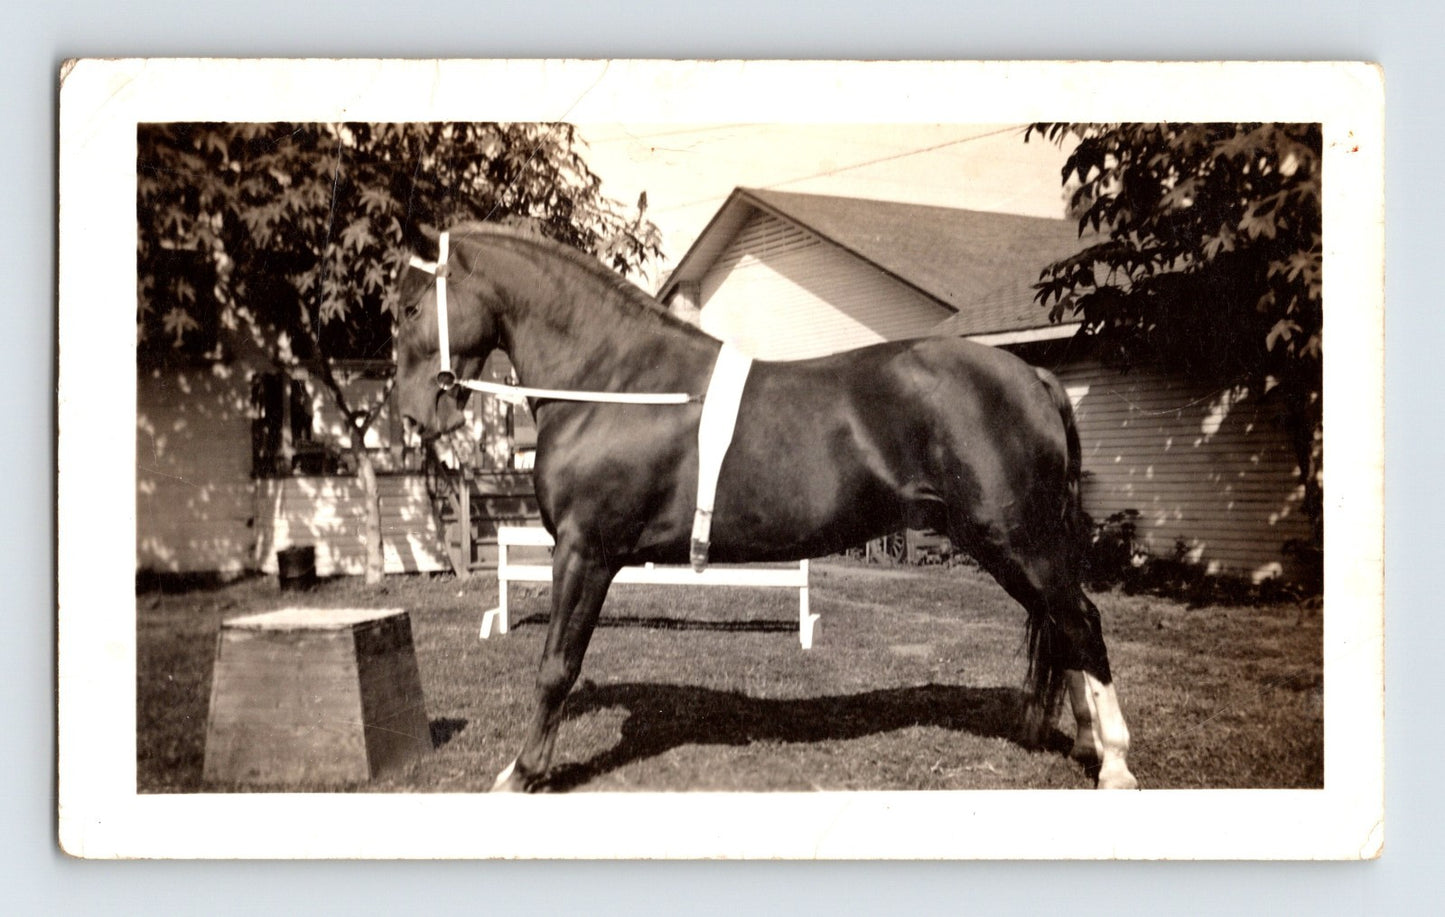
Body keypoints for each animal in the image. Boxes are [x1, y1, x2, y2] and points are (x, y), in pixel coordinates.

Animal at [393, 223, 1137, 791]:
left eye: (408, 309)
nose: (412, 415)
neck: (613, 383)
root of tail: (1031, 375)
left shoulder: (585, 552)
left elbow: (555, 667)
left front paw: (521, 773)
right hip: (1015, 545)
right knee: (1063, 625)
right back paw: (1086, 743)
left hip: (1014, 539)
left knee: (1081, 620)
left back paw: (1116, 764)